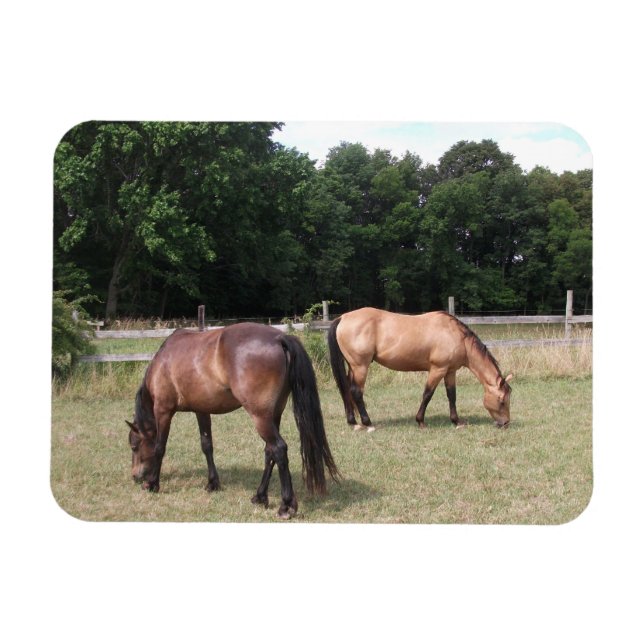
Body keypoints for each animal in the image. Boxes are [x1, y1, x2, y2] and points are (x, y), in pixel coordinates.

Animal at [126, 323, 339, 519]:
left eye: (134, 446)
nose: (135, 476)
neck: (163, 361)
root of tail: (279, 338)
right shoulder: (201, 410)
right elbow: (207, 445)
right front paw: (212, 483)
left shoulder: (163, 410)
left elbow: (159, 448)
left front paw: (152, 484)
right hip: (273, 415)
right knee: (270, 452)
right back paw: (260, 496)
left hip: (260, 416)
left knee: (278, 449)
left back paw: (285, 506)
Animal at [327, 307, 513, 432]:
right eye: (502, 401)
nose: (505, 423)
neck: (456, 336)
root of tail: (343, 318)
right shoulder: (438, 369)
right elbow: (427, 394)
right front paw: (421, 421)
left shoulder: (450, 371)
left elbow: (451, 395)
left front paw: (456, 421)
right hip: (360, 367)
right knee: (356, 392)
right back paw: (368, 423)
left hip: (353, 367)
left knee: (347, 389)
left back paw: (353, 422)